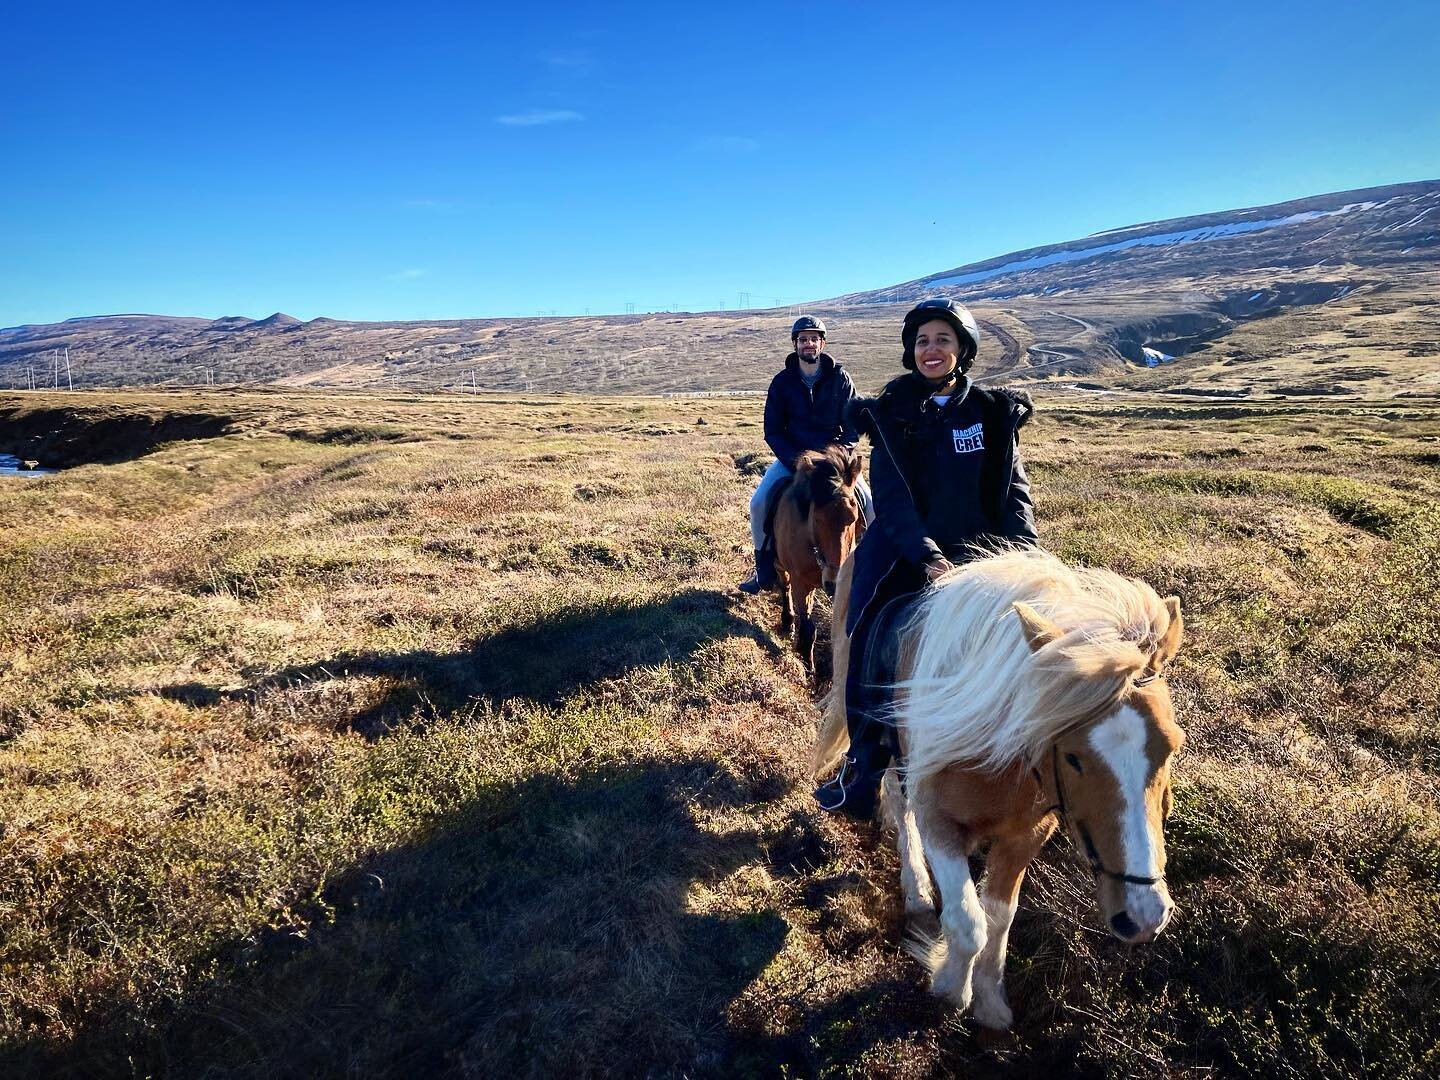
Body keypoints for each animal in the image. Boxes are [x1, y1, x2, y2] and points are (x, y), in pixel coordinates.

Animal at [771, 443, 858, 673]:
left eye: (853, 518)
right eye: (817, 519)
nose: (833, 583)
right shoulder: (801, 582)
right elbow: (809, 626)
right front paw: (807, 665)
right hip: (780, 565)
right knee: (784, 586)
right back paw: (788, 622)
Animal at [817, 550, 1186, 1031]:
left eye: (1171, 746)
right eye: (1072, 757)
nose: (1144, 916)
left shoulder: (1025, 836)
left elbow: (999, 918)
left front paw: (991, 1002)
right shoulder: (939, 821)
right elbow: (968, 921)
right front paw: (950, 989)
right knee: (898, 804)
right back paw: (916, 892)